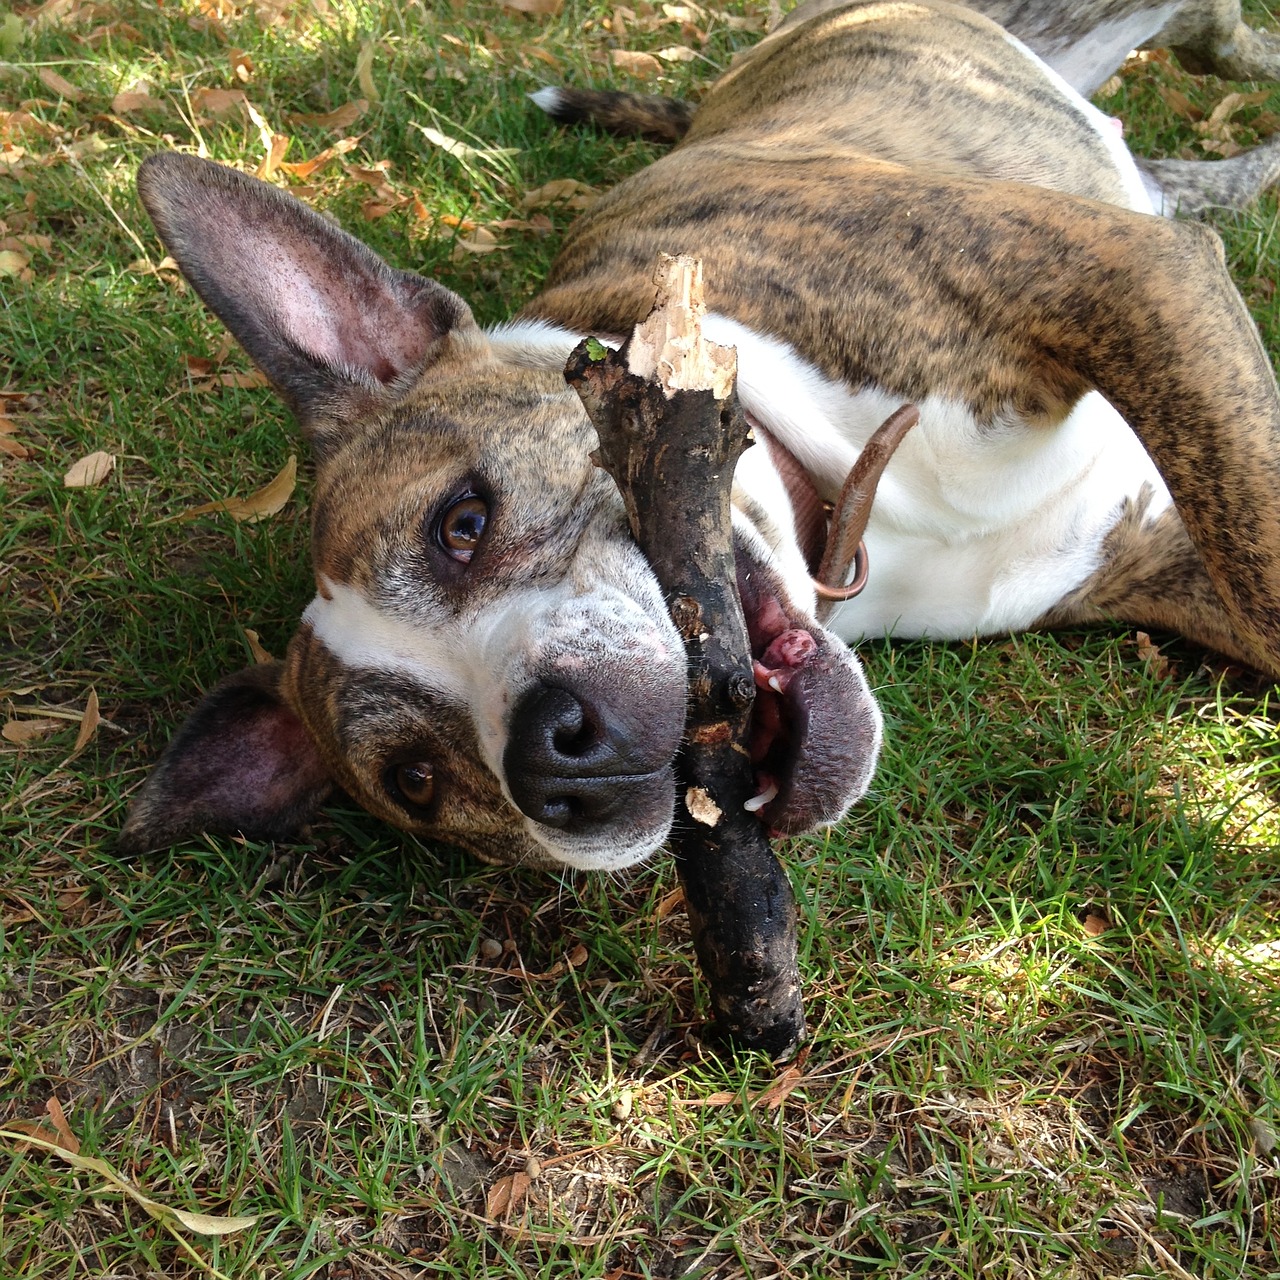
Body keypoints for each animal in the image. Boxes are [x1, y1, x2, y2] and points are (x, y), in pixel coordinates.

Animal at [117, 0, 1280, 875]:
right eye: (415, 778)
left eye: (462, 521)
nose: (554, 758)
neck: (850, 511)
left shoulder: (1124, 277)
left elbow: (1261, 572)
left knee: (1220, 41)